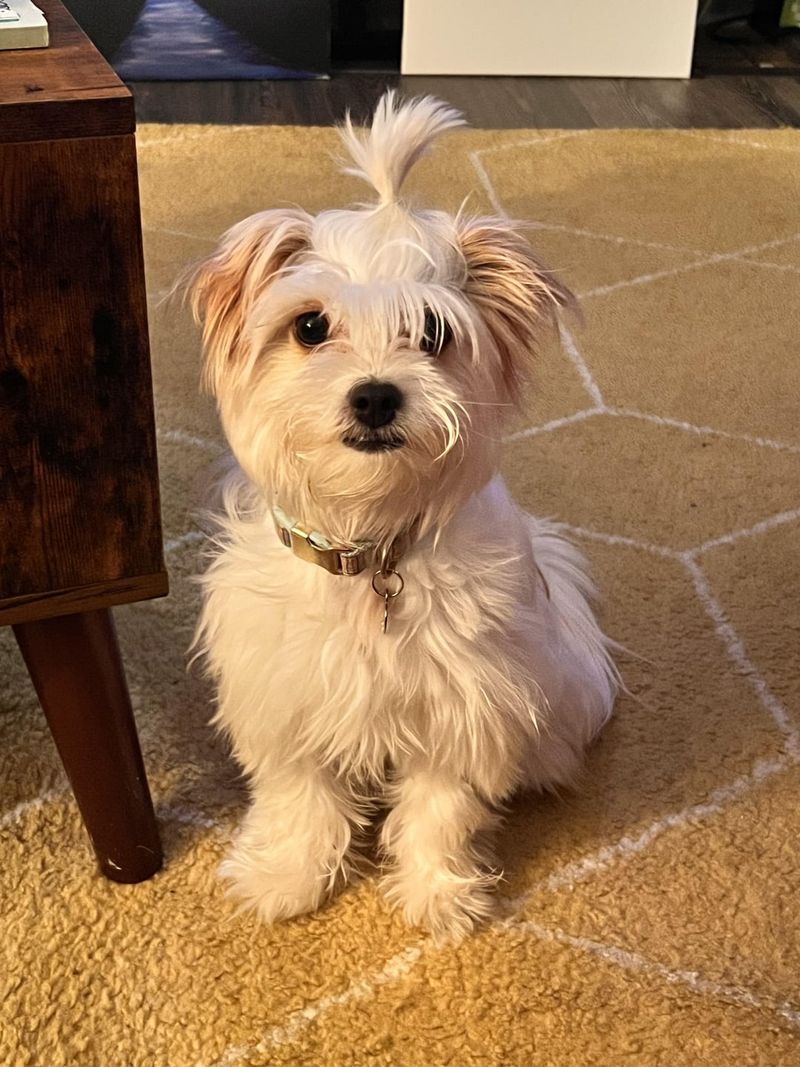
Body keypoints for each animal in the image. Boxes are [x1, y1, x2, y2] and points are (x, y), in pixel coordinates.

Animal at [189, 96, 618, 938]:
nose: (376, 396)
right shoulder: (288, 701)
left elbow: (438, 811)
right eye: (310, 326)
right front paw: (289, 877)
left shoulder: (464, 710)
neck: (370, 542)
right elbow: (302, 802)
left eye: (433, 332)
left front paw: (438, 894)